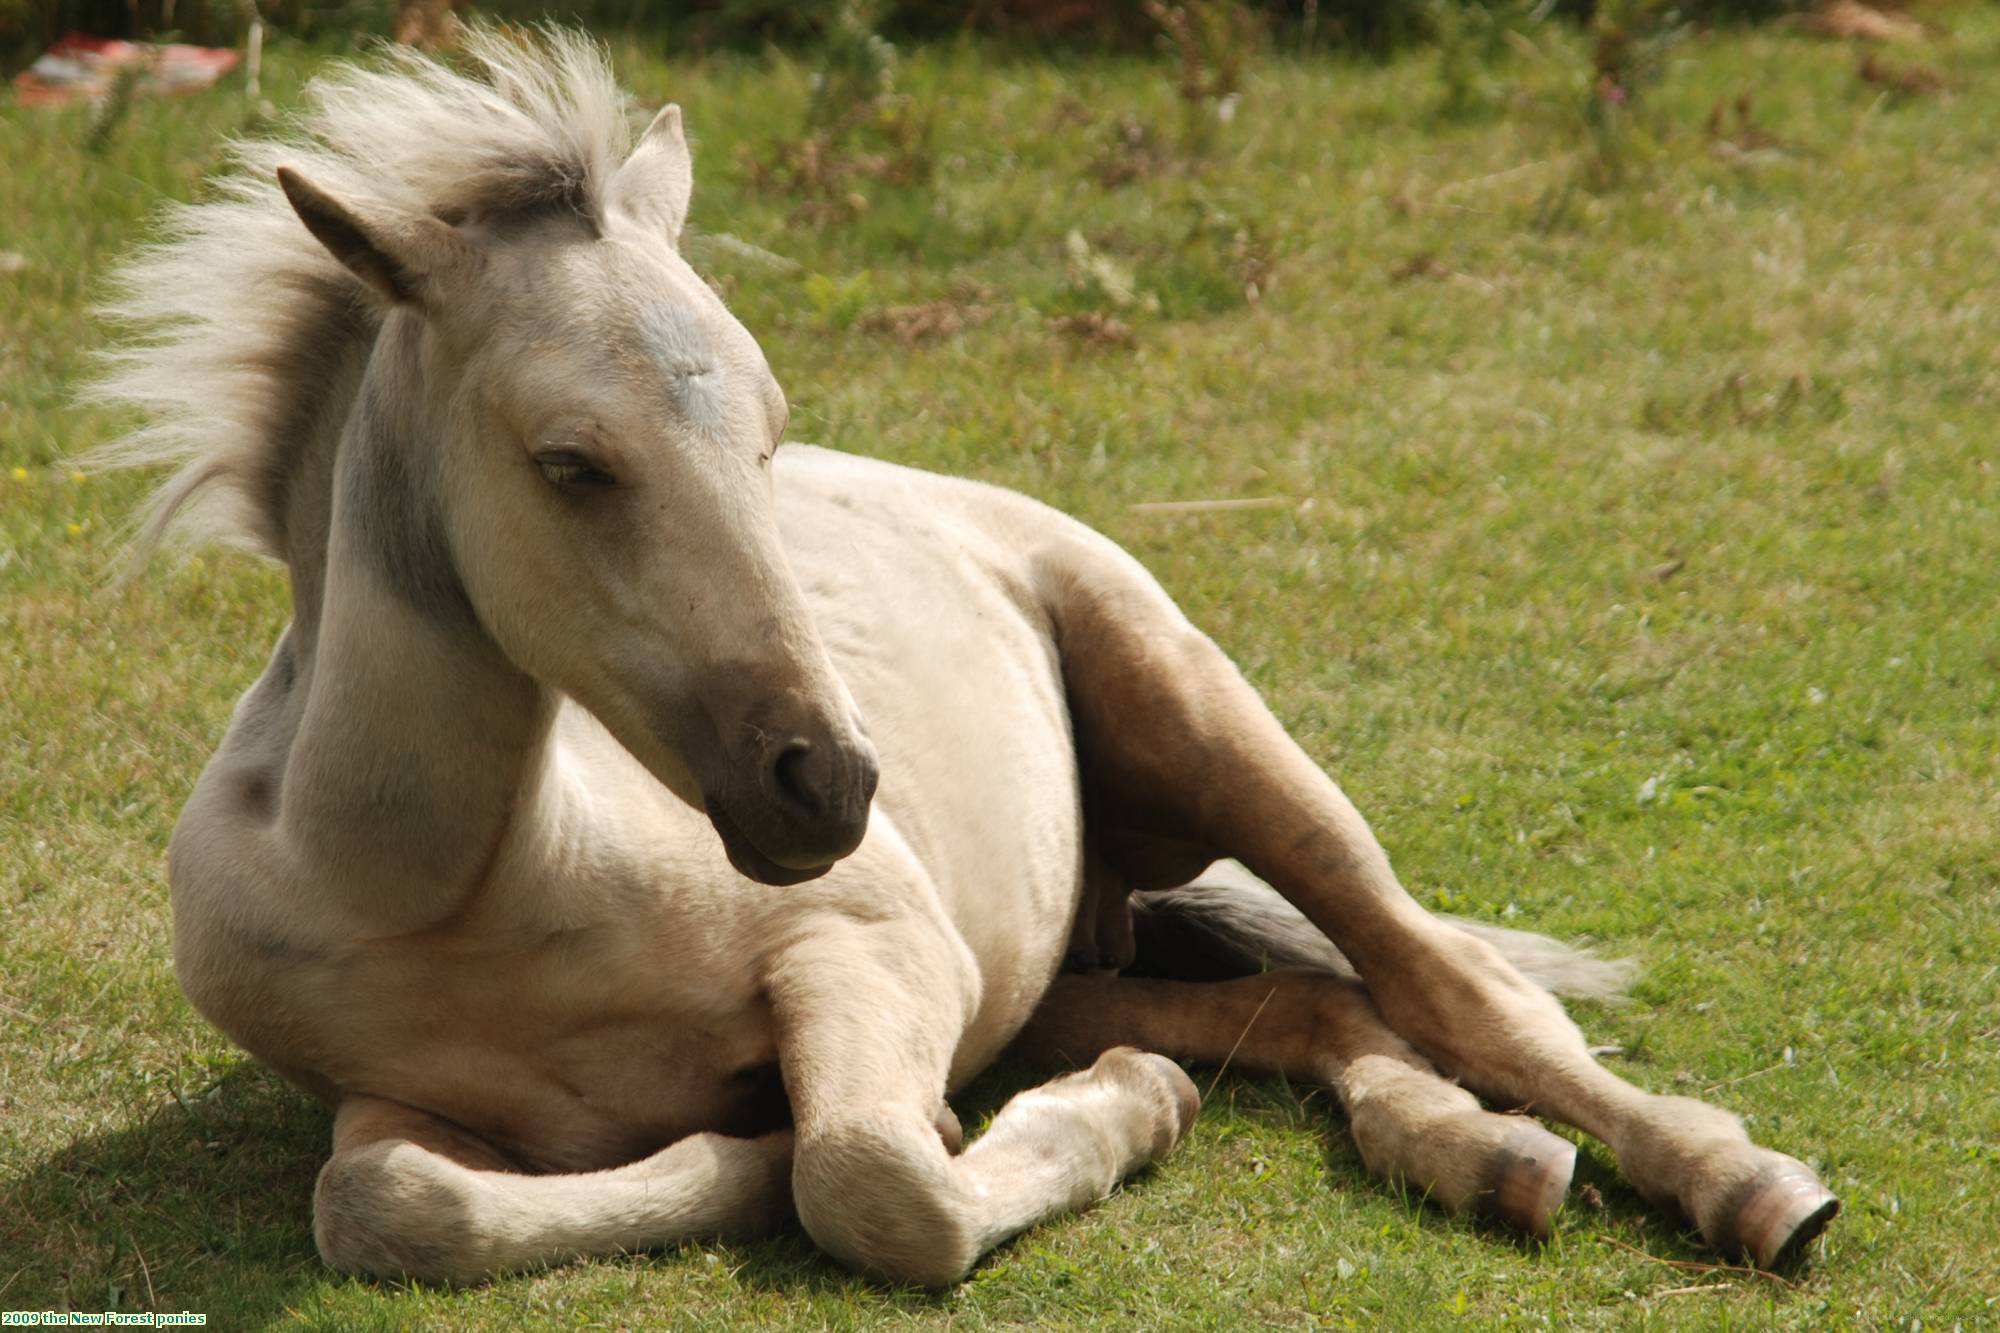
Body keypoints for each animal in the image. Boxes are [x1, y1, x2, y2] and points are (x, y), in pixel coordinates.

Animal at [101, 33, 1832, 1288]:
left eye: (771, 430)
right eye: (571, 463)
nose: (829, 781)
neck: (456, 887)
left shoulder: (875, 946)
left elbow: (874, 1178)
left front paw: (1092, 1119)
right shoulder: (394, 1100)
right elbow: (390, 1206)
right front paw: (744, 1153)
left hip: (1204, 718)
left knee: (1451, 987)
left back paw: (1745, 1187)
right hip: (1056, 966)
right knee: (1322, 1014)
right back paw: (1480, 1157)